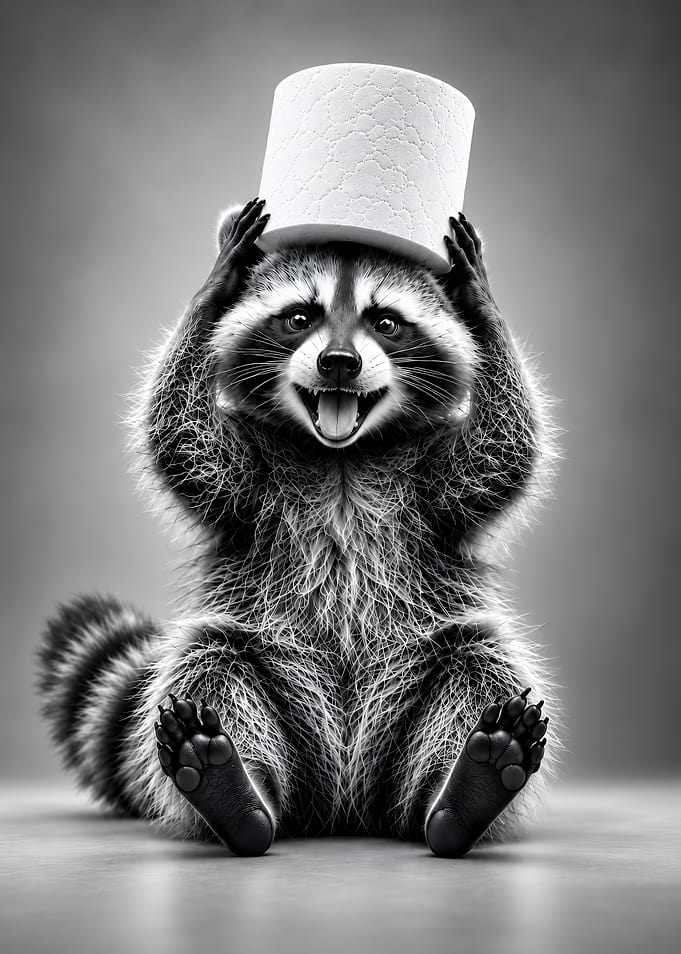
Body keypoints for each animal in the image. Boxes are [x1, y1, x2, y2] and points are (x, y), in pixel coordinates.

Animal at [38, 198, 557, 857]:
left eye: (386, 322)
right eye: (299, 317)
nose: (339, 363)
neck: (341, 456)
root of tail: (342, 805)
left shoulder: (432, 490)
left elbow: (500, 453)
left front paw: (480, 300)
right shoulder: (251, 484)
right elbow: (182, 439)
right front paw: (215, 286)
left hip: (419, 676)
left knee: (476, 657)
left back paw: (460, 790)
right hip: (266, 665)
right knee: (213, 660)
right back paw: (237, 793)